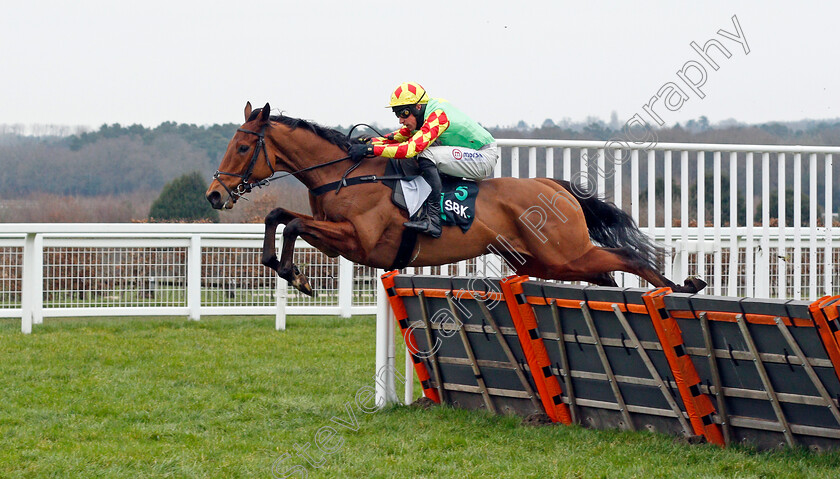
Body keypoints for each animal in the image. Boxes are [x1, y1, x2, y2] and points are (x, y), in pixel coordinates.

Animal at [207, 102, 704, 296]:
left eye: (244, 147)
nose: (214, 194)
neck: (343, 176)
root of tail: (553, 186)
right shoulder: (338, 241)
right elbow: (277, 215)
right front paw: (284, 268)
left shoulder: (359, 239)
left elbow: (290, 221)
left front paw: (296, 275)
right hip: (545, 261)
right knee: (609, 274)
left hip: (566, 252)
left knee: (627, 259)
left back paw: (683, 285)